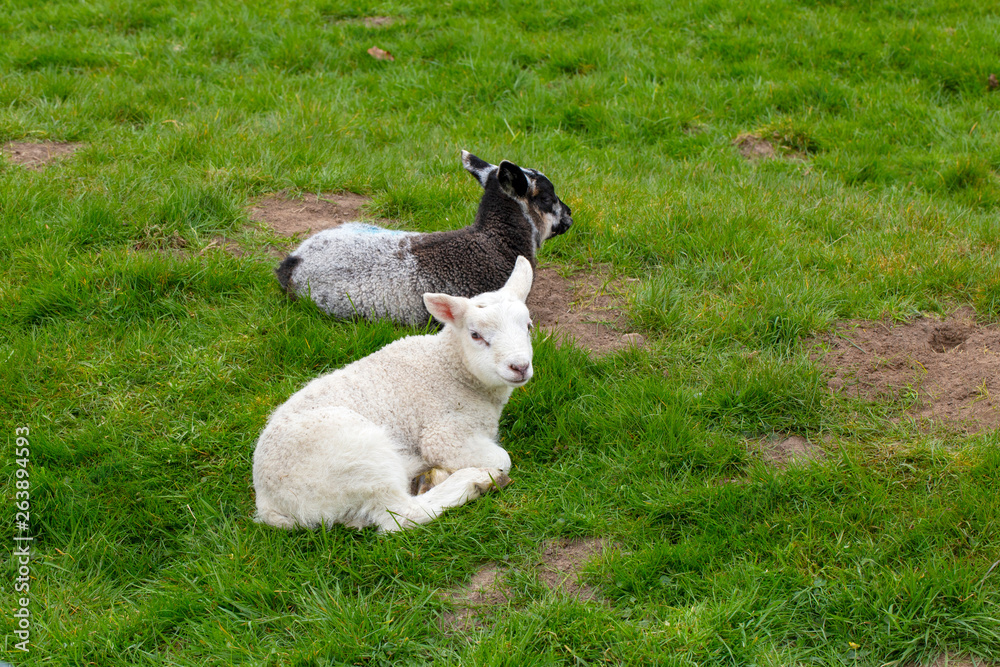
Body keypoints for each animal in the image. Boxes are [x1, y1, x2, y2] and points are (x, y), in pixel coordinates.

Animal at [253, 256, 536, 532]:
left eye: (529, 327)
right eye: (475, 335)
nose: (520, 366)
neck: (450, 369)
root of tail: (270, 504)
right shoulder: (443, 434)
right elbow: (503, 457)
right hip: (359, 459)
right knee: (399, 516)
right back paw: (476, 480)